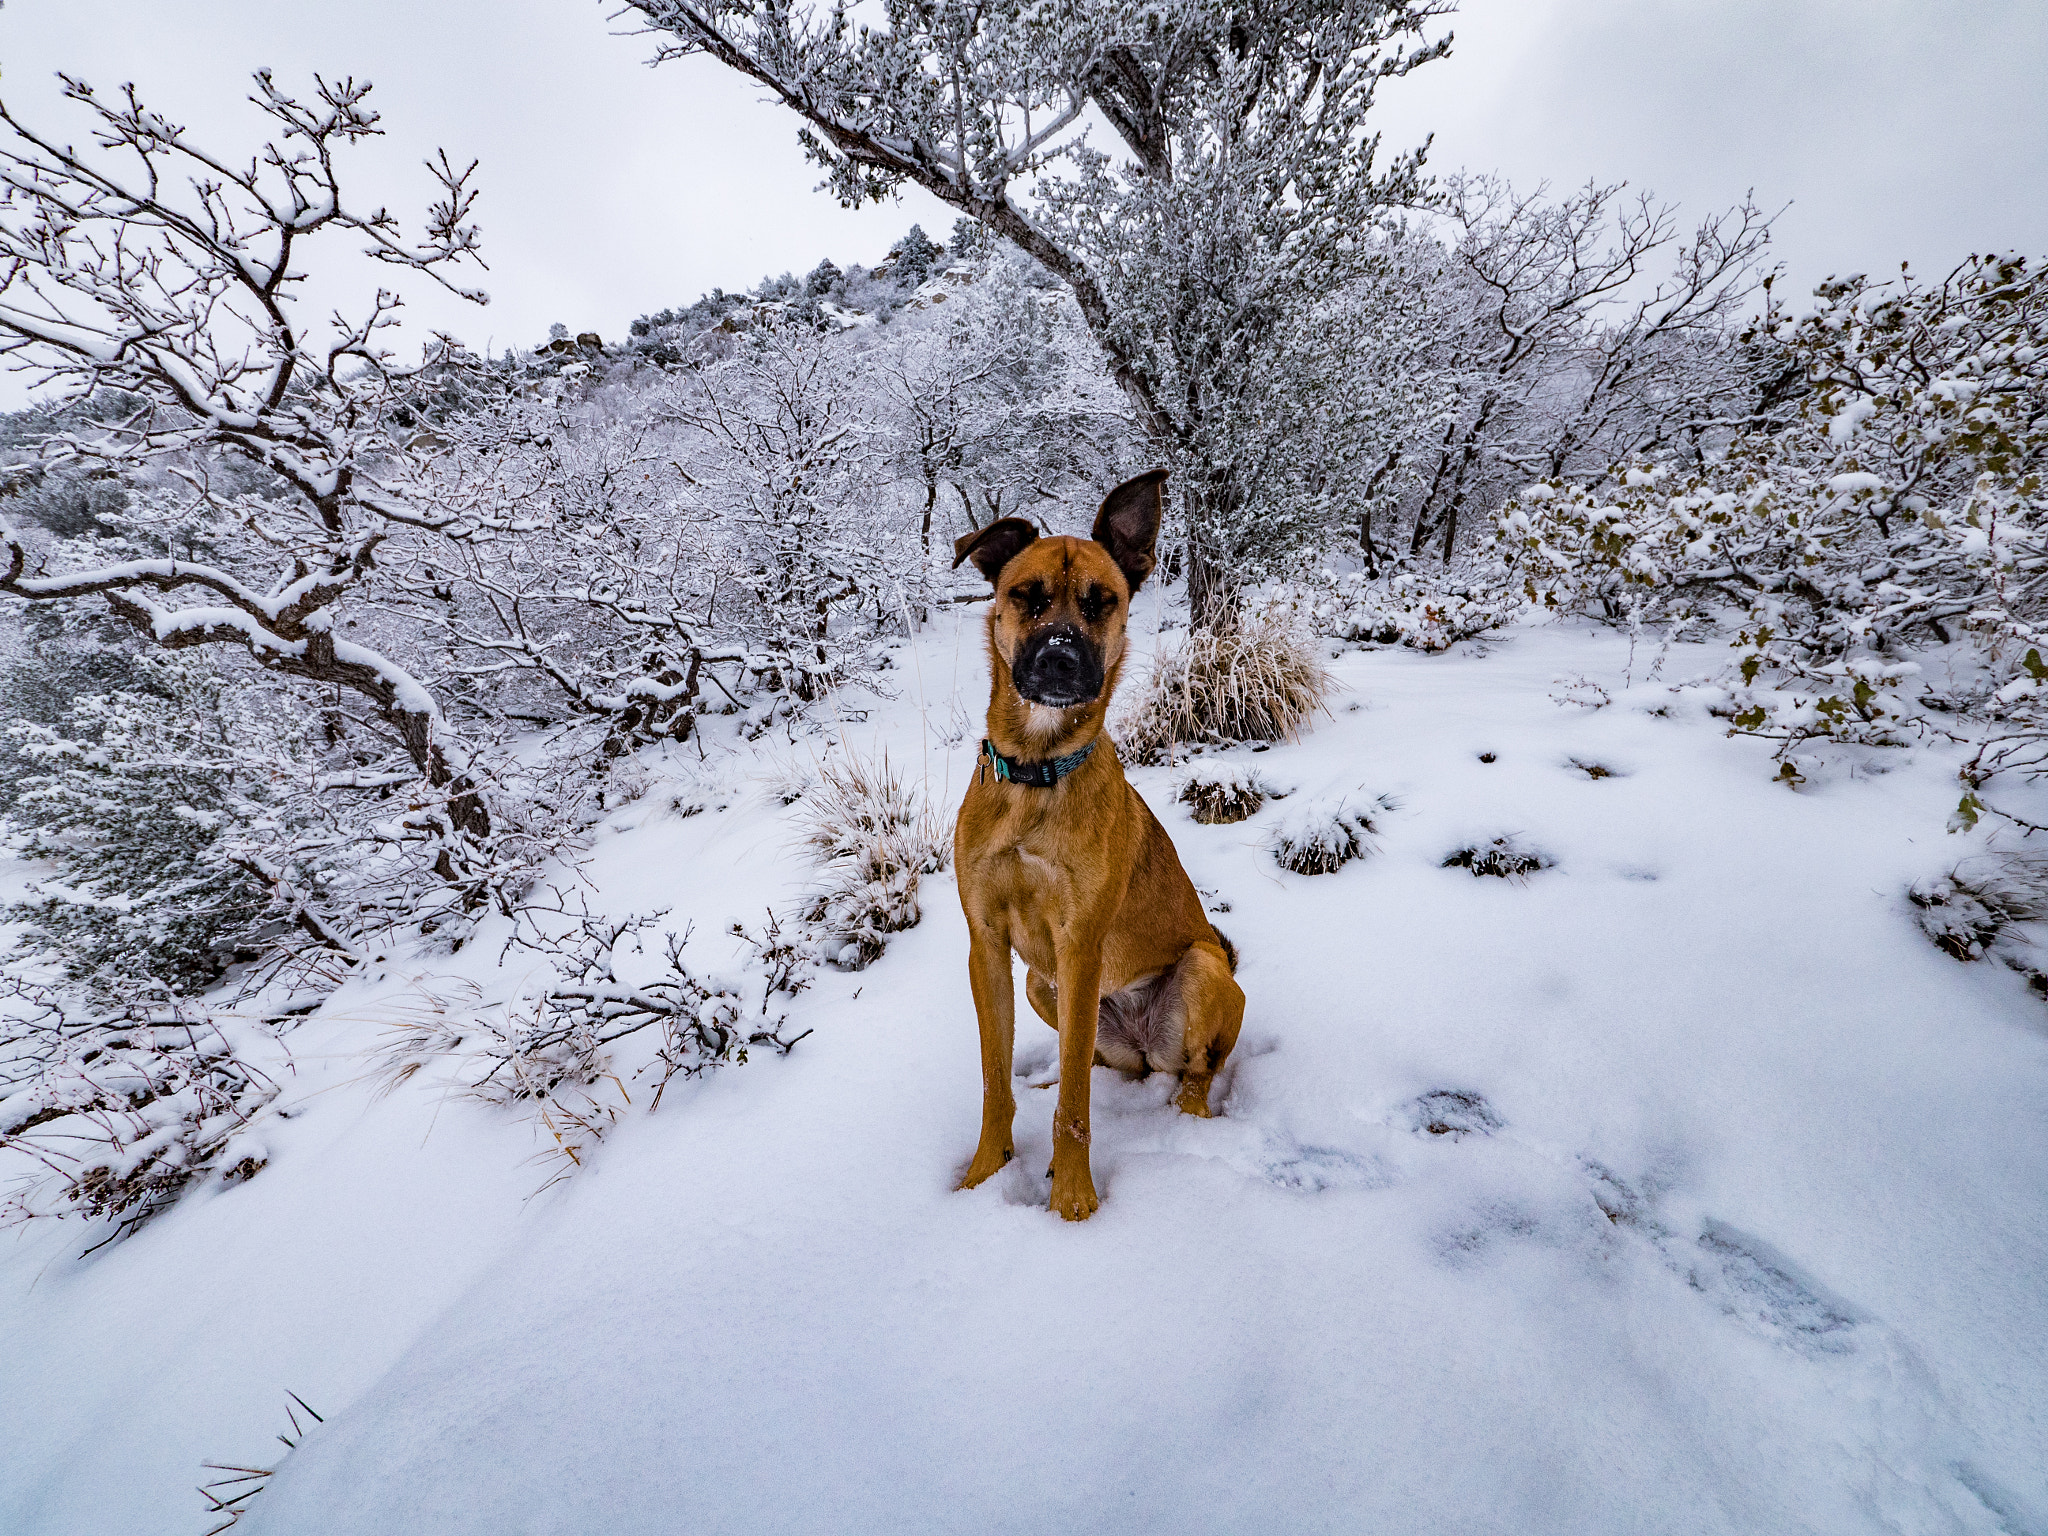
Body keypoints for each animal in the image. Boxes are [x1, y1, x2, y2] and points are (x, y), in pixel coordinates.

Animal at [946, 468, 1245, 1228]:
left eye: (1099, 602)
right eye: (1026, 596)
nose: (1059, 656)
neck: (1036, 778)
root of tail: (1142, 1047)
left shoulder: (1080, 946)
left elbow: (1076, 1113)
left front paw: (1073, 1201)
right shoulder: (987, 945)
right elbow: (994, 1080)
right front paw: (985, 1173)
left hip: (1203, 968)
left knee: (1195, 1068)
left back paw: (1189, 1109)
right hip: (1039, 982)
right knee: (1094, 1065)